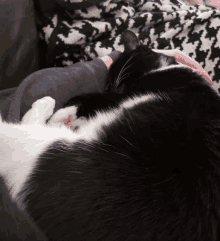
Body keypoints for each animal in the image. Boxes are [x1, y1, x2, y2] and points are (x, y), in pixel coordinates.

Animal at [0, 30, 220, 241]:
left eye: (118, 84)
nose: (112, 88)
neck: (164, 68)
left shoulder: (120, 96)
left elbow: (88, 98)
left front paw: (64, 113)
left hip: (44, 148)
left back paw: (48, 107)